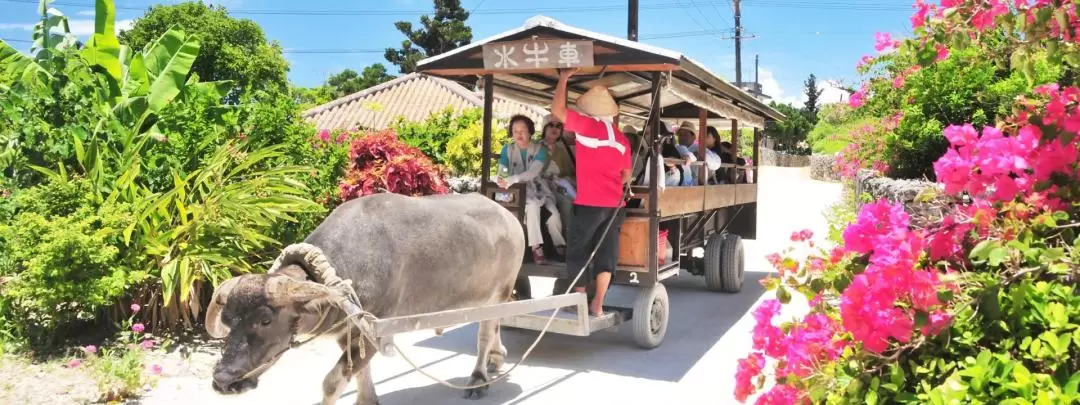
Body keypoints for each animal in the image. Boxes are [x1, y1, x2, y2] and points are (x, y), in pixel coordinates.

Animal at [204, 192, 524, 403]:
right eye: (228, 320)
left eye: (265, 321)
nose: (223, 380)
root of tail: (510, 219)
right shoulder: (350, 331)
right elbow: (360, 372)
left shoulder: (377, 329)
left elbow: (333, 382)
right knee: (495, 325)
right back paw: (496, 358)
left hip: (499, 292)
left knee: (485, 333)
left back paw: (479, 378)